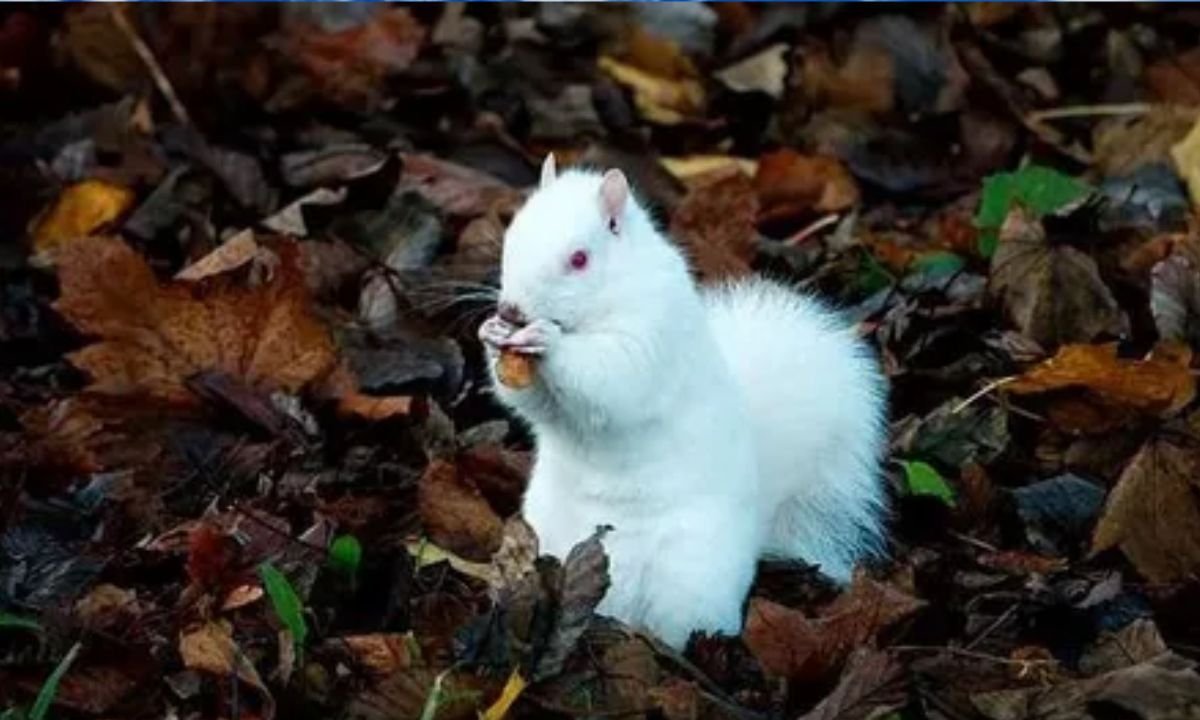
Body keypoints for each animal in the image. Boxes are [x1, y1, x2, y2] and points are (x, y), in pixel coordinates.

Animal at [472, 154, 888, 648]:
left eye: (579, 259)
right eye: (512, 237)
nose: (511, 311)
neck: (606, 300)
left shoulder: (652, 333)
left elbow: (613, 377)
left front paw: (545, 340)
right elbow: (537, 404)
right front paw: (492, 334)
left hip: (690, 574)